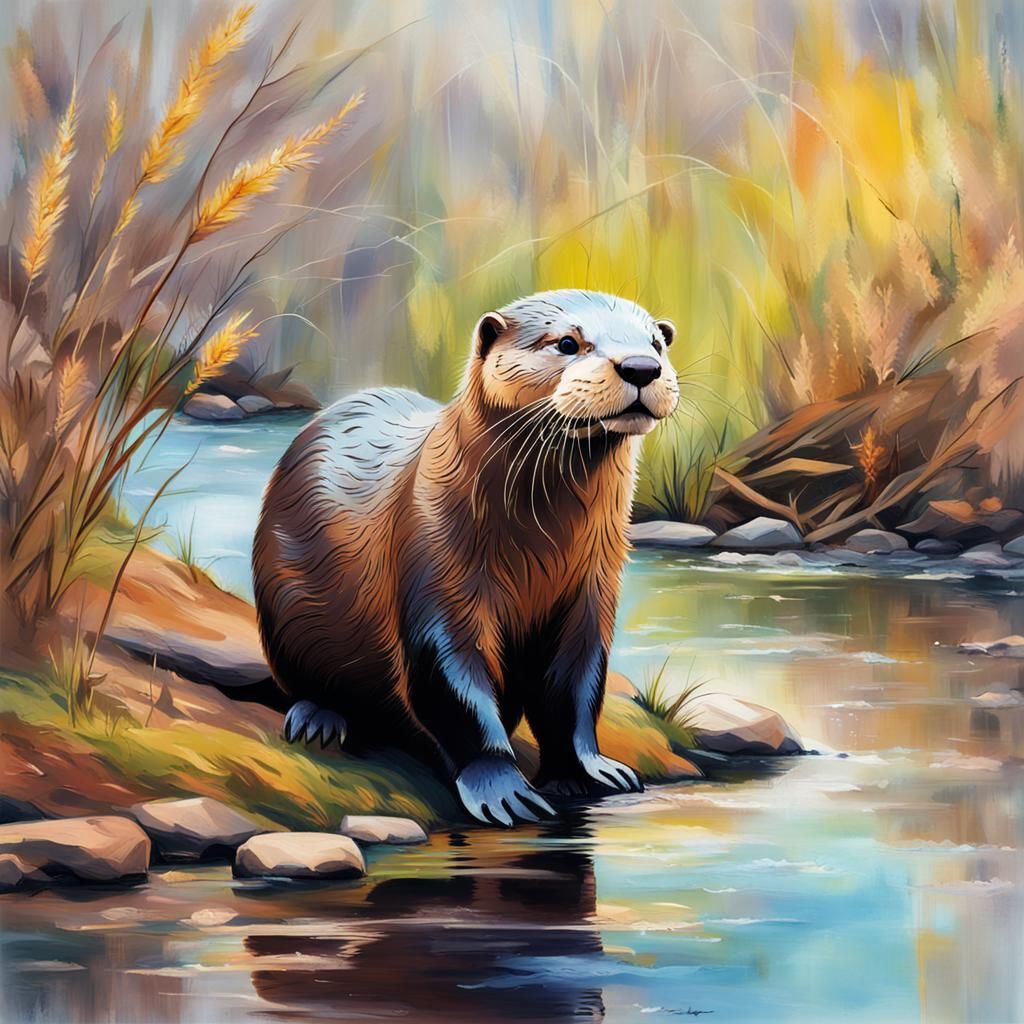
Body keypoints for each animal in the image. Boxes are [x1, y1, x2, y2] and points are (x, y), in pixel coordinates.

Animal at [252, 289, 678, 826]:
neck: (537, 551)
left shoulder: (590, 592)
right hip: (284, 608)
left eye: (656, 343)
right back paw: (320, 718)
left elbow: (574, 691)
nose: (642, 367)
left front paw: (588, 768)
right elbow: (455, 688)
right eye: (567, 342)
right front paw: (501, 787)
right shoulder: (436, 569)